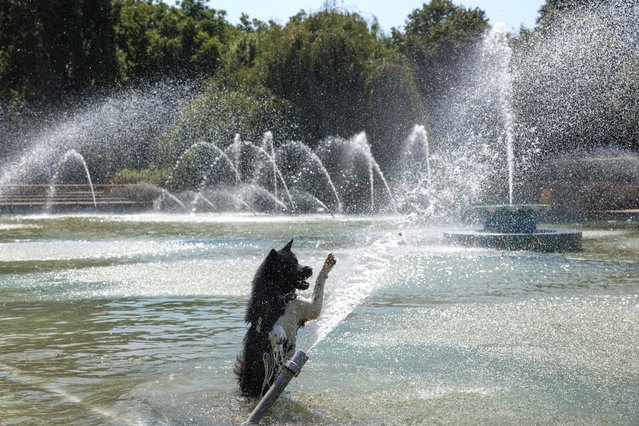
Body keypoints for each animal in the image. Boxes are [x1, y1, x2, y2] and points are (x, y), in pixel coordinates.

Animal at [235, 240, 336, 396]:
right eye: (289, 265)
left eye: (298, 261)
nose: (310, 269)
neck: (281, 299)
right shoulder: (262, 326)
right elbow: (273, 327)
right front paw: (280, 332)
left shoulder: (311, 309)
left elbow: (319, 284)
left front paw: (327, 265)